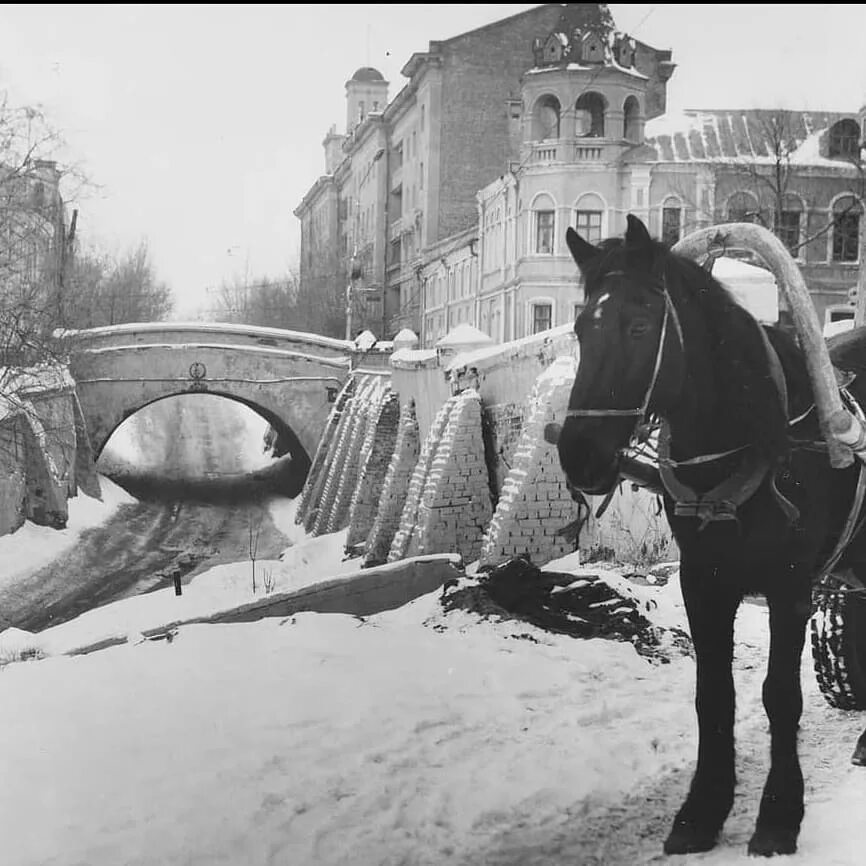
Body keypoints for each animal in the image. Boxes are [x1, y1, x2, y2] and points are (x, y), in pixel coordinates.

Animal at [552, 216, 864, 856]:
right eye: (579, 327)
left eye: (639, 324)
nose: (581, 455)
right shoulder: (703, 580)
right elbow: (712, 693)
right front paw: (702, 810)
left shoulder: (791, 586)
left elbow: (780, 694)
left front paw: (778, 815)